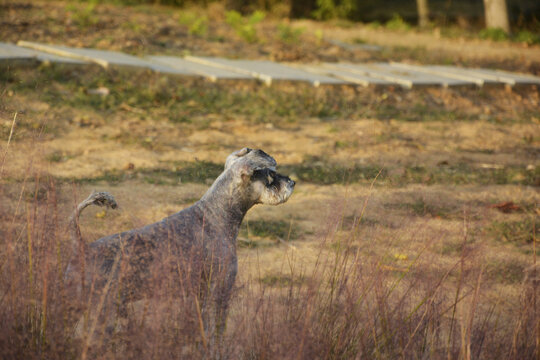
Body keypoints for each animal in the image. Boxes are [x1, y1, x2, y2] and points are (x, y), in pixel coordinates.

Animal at [66, 148, 296, 340]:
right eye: (270, 176)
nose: (292, 183)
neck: (217, 214)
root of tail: (83, 248)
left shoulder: (201, 295)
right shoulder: (220, 290)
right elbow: (216, 331)